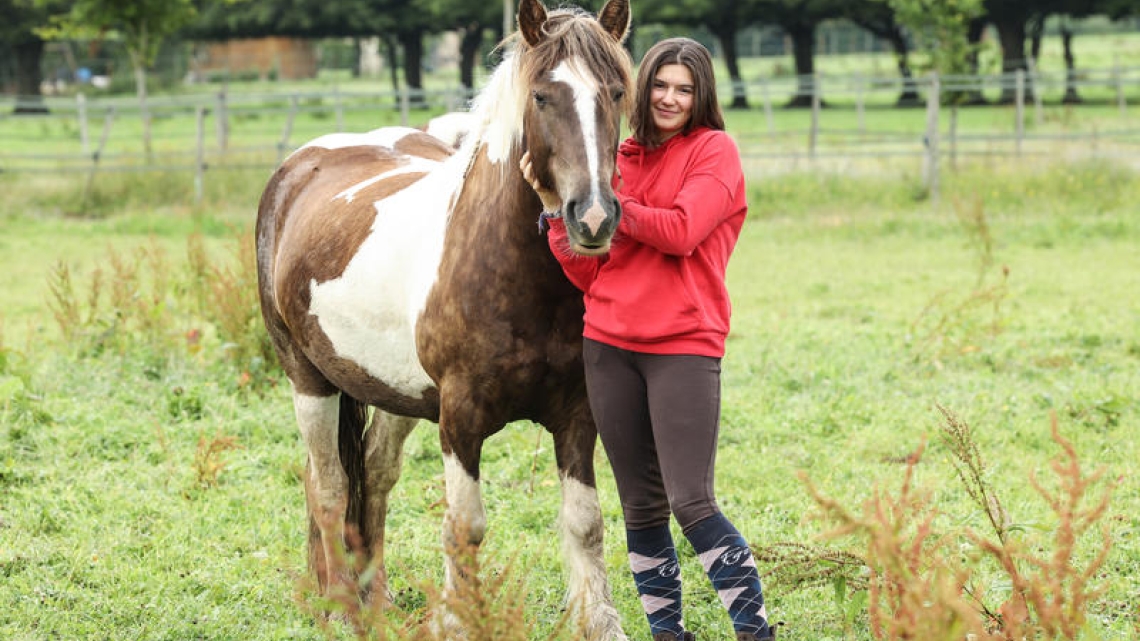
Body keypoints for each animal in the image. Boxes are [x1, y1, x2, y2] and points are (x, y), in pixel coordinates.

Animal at [254, 0, 633, 637]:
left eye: (617, 92)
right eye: (541, 96)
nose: (593, 217)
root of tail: (299, 166)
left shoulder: (577, 414)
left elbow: (585, 521)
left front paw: (602, 622)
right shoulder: (460, 418)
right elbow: (465, 528)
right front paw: (459, 620)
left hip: (392, 391)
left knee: (374, 476)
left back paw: (377, 601)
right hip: (308, 378)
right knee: (328, 486)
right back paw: (342, 608)